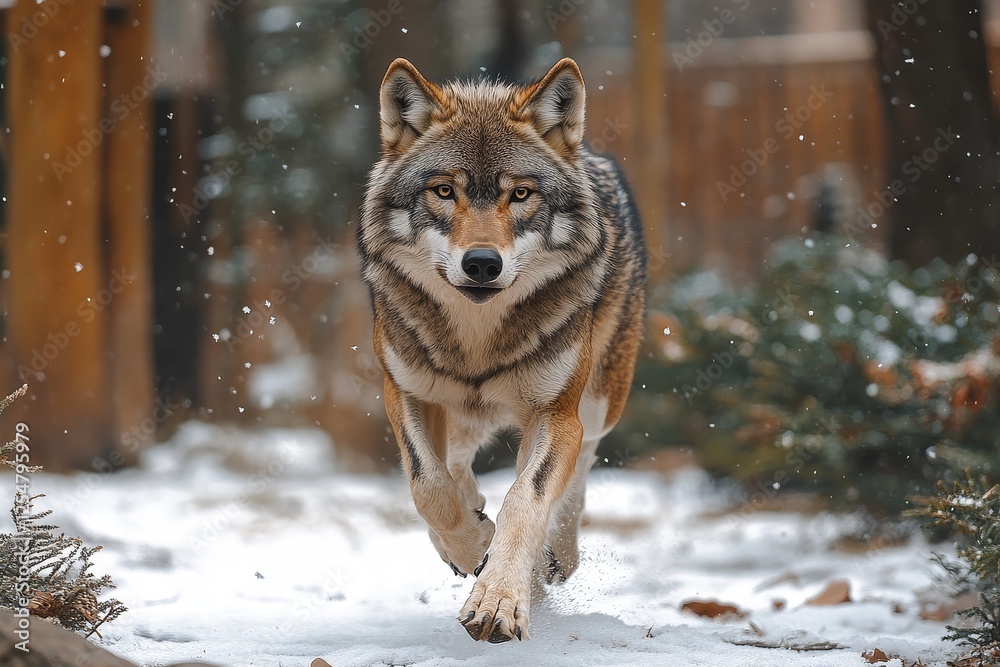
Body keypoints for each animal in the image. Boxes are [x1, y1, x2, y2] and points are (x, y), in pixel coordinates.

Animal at [358, 57, 647, 643]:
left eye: (521, 194)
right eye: (444, 191)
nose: (482, 263)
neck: (478, 340)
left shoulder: (555, 412)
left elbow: (526, 497)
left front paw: (500, 599)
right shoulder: (403, 391)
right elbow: (427, 484)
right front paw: (473, 548)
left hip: (600, 400)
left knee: (577, 472)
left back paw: (554, 558)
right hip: (461, 409)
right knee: (454, 463)